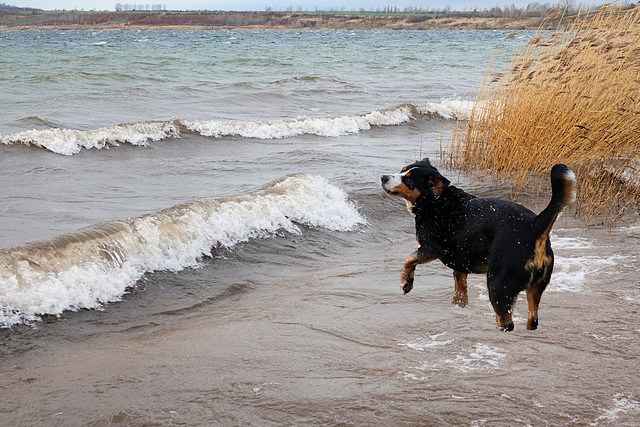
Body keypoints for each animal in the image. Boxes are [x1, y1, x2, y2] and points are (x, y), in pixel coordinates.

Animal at [380, 159, 576, 332]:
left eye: (409, 180)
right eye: (402, 171)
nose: (383, 177)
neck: (436, 201)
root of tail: (533, 226)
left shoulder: (432, 248)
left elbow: (409, 259)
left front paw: (406, 283)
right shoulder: (460, 268)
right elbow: (460, 293)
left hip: (498, 285)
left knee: (506, 322)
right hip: (535, 289)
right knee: (532, 320)